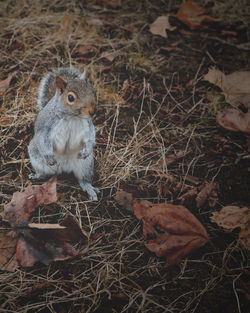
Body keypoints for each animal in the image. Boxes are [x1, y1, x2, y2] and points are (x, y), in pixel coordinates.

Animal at [28, 67, 98, 200]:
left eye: (93, 91)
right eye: (70, 98)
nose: (92, 112)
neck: (72, 117)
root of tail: (63, 167)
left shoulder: (88, 125)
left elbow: (90, 138)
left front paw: (86, 150)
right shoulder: (45, 126)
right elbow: (42, 138)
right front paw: (49, 156)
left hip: (85, 164)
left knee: (83, 178)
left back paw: (89, 188)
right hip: (36, 158)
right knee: (43, 172)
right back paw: (37, 175)